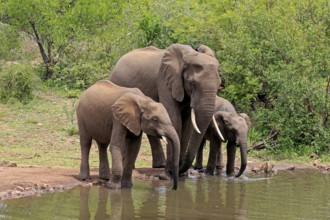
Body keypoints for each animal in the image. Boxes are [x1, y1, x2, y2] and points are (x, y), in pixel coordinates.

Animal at [110, 43, 222, 174]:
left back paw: (159, 165)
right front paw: (170, 172)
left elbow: (187, 125)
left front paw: (179, 174)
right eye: (193, 84)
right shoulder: (164, 80)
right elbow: (175, 119)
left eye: (219, 85)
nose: (180, 169)